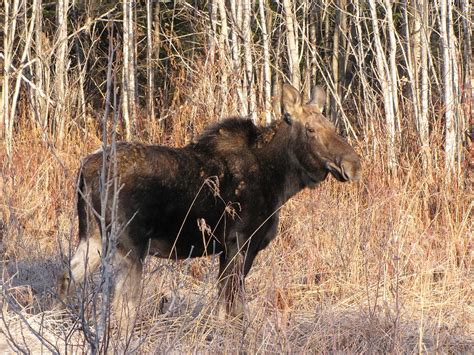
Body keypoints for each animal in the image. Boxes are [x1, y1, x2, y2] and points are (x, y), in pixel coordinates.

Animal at [58, 85, 362, 324]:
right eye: (310, 129)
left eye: (334, 127)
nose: (353, 164)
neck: (281, 181)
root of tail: (86, 170)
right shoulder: (240, 241)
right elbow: (233, 308)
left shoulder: (227, 248)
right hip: (130, 245)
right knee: (122, 308)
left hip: (93, 237)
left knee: (67, 277)